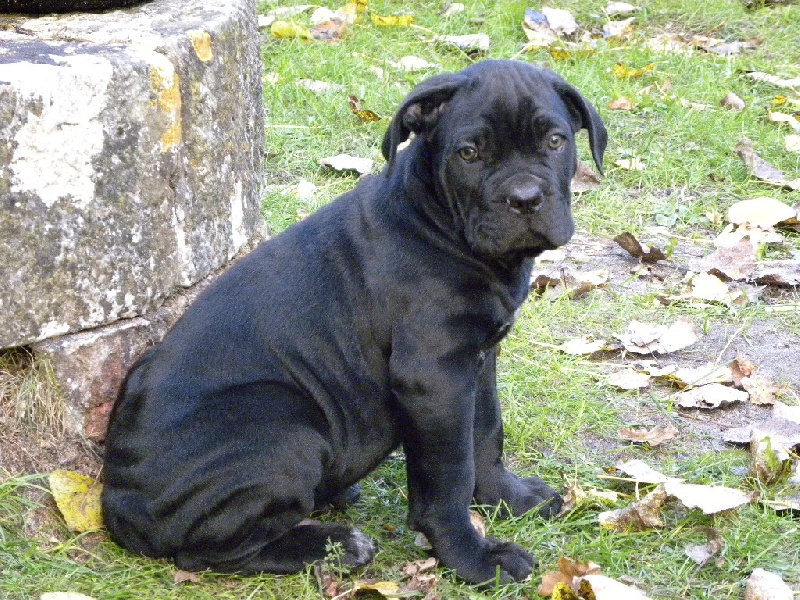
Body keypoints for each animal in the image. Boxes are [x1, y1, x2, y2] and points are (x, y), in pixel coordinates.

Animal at [102, 59, 607, 586]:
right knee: (207, 552)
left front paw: (509, 499)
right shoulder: (434, 378)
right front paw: (474, 558)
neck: (439, 224)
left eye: (555, 141)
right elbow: (449, 474)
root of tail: (117, 505)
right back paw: (335, 547)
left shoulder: (478, 358)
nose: (525, 198)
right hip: (285, 427)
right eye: (469, 153)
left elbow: (486, 434)